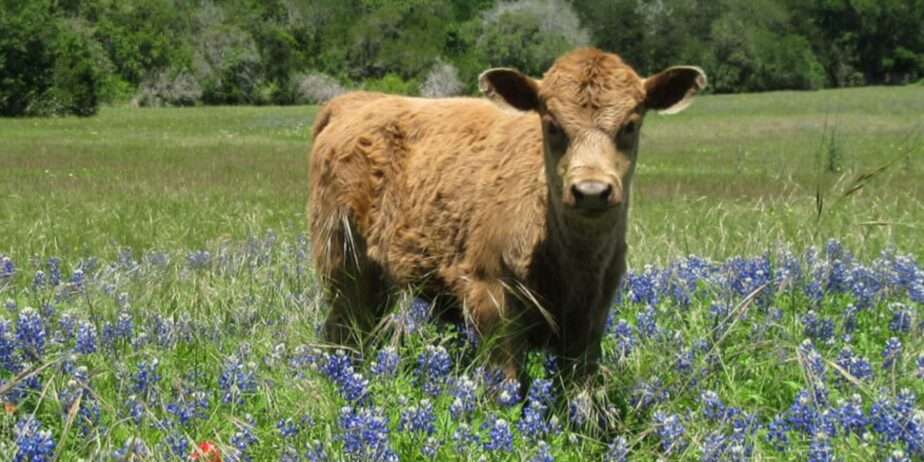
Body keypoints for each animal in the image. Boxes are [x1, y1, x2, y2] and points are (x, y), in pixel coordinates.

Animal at [308, 48, 706, 382]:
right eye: (552, 124)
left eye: (630, 124)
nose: (591, 191)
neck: (574, 260)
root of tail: (354, 101)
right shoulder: (491, 297)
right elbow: (506, 385)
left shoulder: (592, 314)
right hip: (343, 263)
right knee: (344, 333)